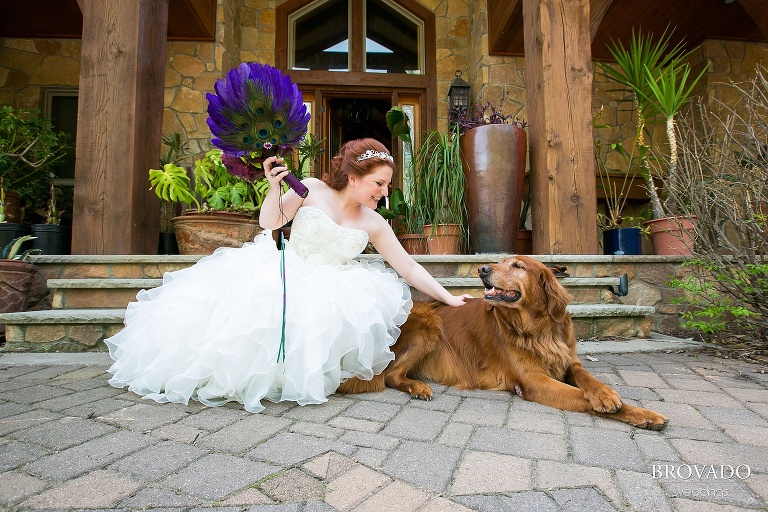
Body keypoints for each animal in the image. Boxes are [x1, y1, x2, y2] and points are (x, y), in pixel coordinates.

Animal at [340, 255, 668, 428]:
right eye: (499, 262)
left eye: (518, 266)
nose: (482, 269)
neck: (537, 329)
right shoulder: (534, 382)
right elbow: (582, 397)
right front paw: (638, 412)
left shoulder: (568, 362)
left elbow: (588, 379)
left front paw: (611, 396)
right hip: (429, 326)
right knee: (391, 375)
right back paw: (418, 387)